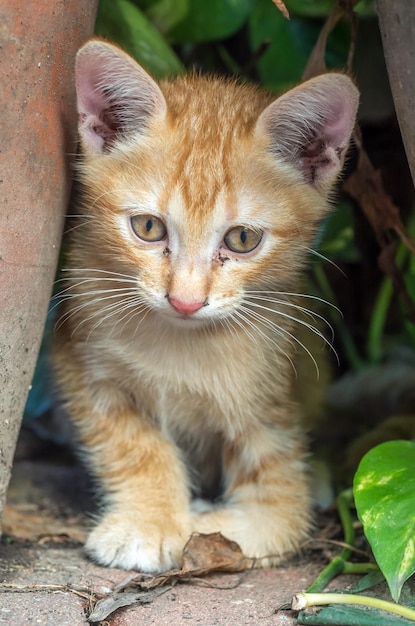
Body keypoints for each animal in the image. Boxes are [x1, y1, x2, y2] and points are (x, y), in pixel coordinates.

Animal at [53, 40, 360, 572]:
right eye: (148, 228)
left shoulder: (270, 394)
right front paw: (150, 519)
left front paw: (217, 525)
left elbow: (282, 506)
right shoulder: (80, 358)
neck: (183, 341)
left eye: (242, 239)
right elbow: (132, 443)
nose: (186, 299)